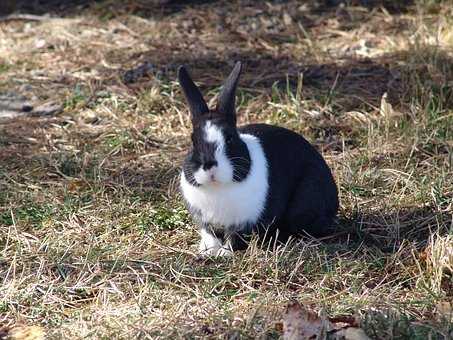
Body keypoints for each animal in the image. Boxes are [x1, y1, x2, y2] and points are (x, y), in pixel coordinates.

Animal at [178, 62, 338, 256]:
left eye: (230, 138)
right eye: (193, 141)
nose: (210, 167)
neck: (218, 187)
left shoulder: (245, 223)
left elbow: (235, 239)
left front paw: (224, 254)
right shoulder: (206, 222)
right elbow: (211, 235)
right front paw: (207, 252)